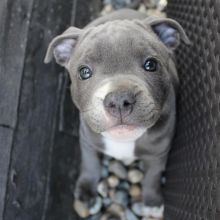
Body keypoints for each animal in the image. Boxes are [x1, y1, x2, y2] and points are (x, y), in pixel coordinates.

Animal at [44, 8, 189, 218]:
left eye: (151, 64)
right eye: (84, 72)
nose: (119, 100)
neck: (124, 140)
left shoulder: (159, 152)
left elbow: (152, 177)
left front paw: (152, 201)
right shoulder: (88, 140)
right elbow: (90, 164)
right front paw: (87, 192)